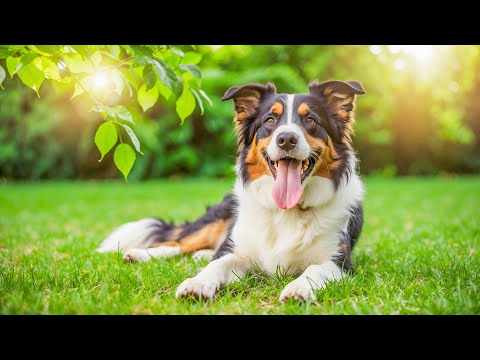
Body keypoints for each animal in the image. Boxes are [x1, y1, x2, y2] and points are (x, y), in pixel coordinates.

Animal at [98, 80, 368, 302]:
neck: (286, 211)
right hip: (219, 218)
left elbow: (315, 269)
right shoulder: (239, 251)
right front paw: (197, 284)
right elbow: (217, 264)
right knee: (179, 242)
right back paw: (141, 254)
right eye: (270, 121)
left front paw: (298, 288)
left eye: (311, 120)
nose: (286, 139)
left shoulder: (340, 262)